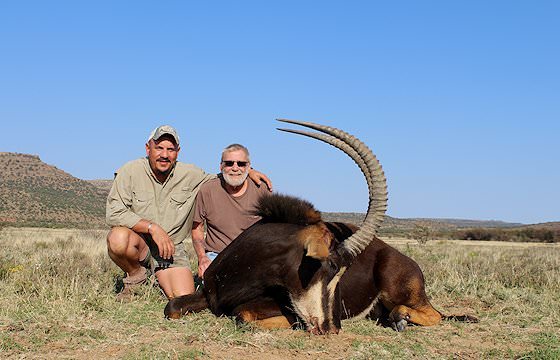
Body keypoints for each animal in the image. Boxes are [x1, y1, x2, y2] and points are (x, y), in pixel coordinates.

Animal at [166, 119, 476, 334]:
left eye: (342, 274)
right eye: (328, 268)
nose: (332, 327)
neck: (243, 268)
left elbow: (243, 315)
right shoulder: (206, 295)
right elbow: (173, 307)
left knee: (435, 314)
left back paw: (401, 318)